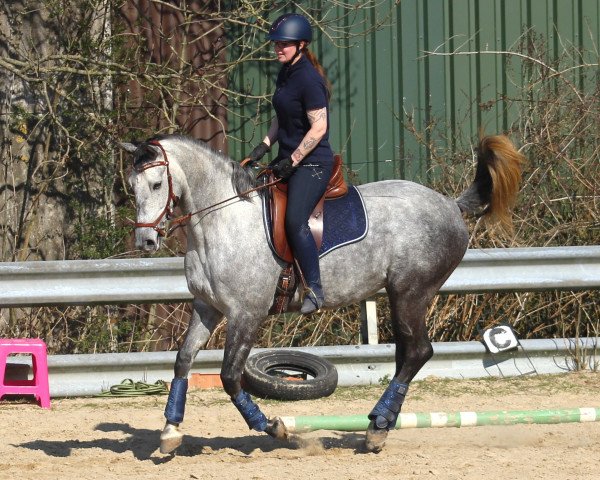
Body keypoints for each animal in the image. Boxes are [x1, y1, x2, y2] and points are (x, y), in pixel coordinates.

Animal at [120, 132, 520, 454]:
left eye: (156, 184)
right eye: (132, 187)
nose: (146, 241)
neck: (223, 221)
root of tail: (449, 204)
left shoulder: (246, 314)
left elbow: (230, 376)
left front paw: (275, 428)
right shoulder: (207, 308)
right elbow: (183, 360)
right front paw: (170, 432)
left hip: (411, 292)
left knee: (417, 352)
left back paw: (377, 429)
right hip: (401, 296)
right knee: (407, 354)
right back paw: (381, 425)